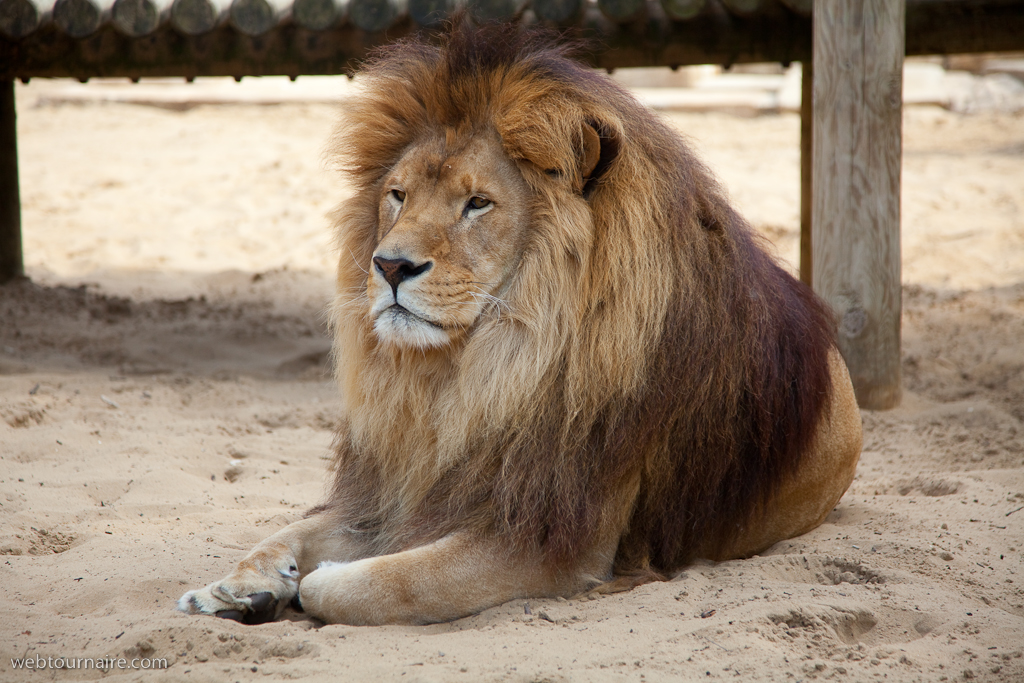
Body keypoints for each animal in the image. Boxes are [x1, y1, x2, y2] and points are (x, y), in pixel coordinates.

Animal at [178, 21, 862, 626]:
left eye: (478, 203)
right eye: (398, 194)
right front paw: (236, 587)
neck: (476, 374)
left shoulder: (554, 539)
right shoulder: (405, 486)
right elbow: (292, 529)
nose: (390, 265)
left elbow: (389, 582)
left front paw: (314, 585)